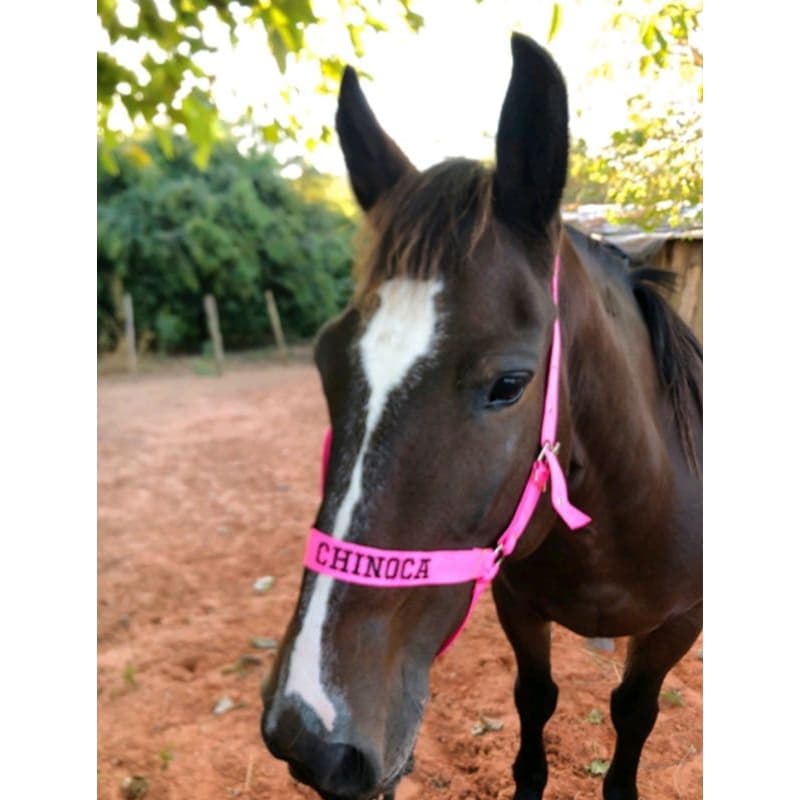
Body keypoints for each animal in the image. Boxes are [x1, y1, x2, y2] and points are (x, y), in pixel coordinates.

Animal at [261, 32, 702, 800]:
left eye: (509, 384)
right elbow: (535, 702)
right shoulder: (515, 603)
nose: (307, 735)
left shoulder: (678, 626)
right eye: (324, 360)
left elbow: (634, 712)